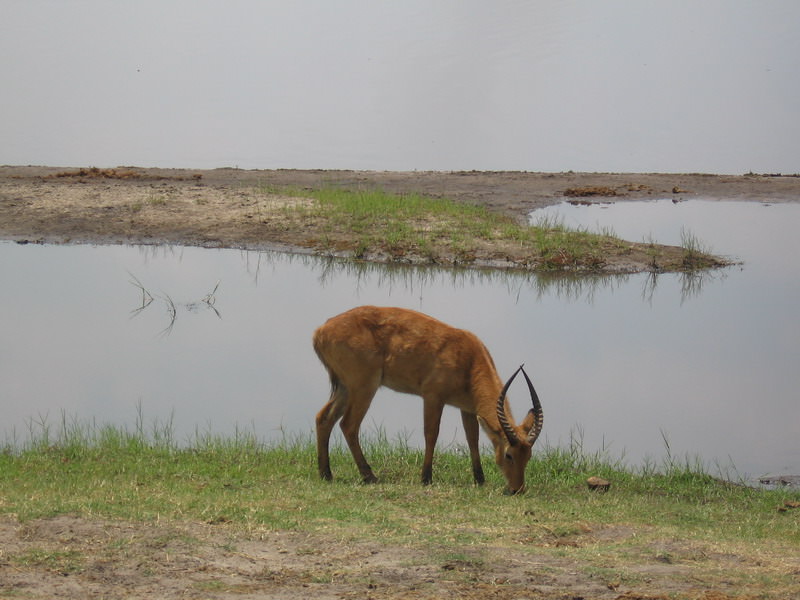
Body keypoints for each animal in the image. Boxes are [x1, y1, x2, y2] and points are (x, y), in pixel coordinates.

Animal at [312, 308, 544, 494]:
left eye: (528, 455)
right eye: (509, 454)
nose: (517, 489)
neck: (468, 359)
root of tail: (320, 330)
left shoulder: (467, 408)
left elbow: (473, 439)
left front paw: (480, 479)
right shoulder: (433, 397)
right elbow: (431, 434)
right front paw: (426, 477)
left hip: (345, 388)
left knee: (324, 418)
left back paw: (326, 474)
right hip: (364, 387)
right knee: (348, 425)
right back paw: (370, 476)